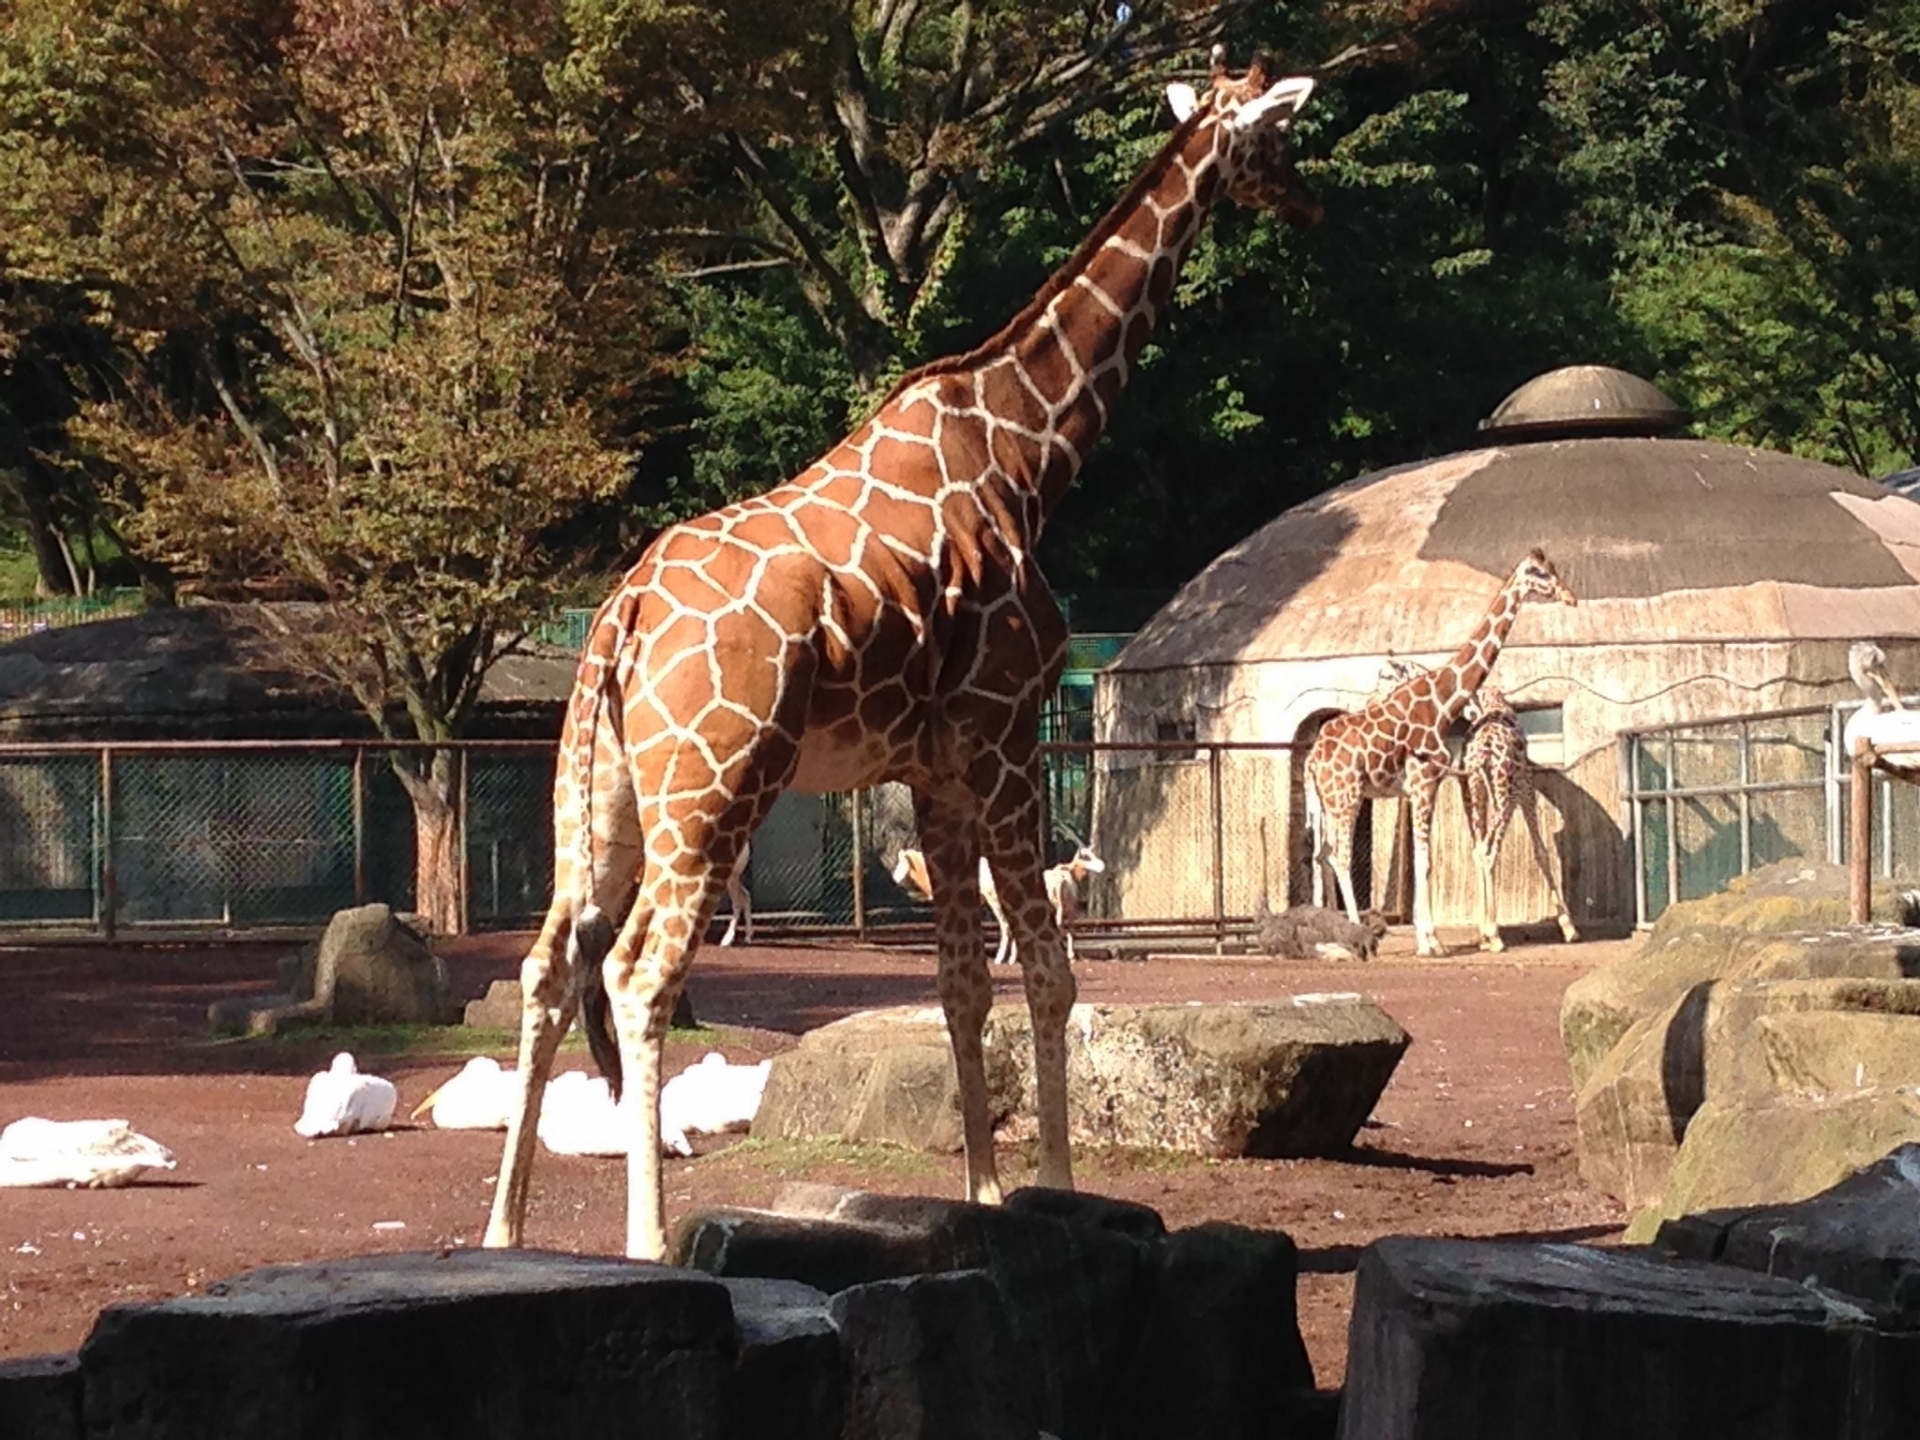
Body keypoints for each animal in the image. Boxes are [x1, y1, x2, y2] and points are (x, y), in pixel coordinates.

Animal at [1459, 691, 1582, 960]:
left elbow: (1477, 849)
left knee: (1480, 851)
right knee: (1489, 853)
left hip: (1479, 789)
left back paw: (1487, 935)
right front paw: (1570, 929)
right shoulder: (1526, 789)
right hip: (1506, 796)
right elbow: (1541, 851)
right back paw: (1495, 936)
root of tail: (1484, 753)